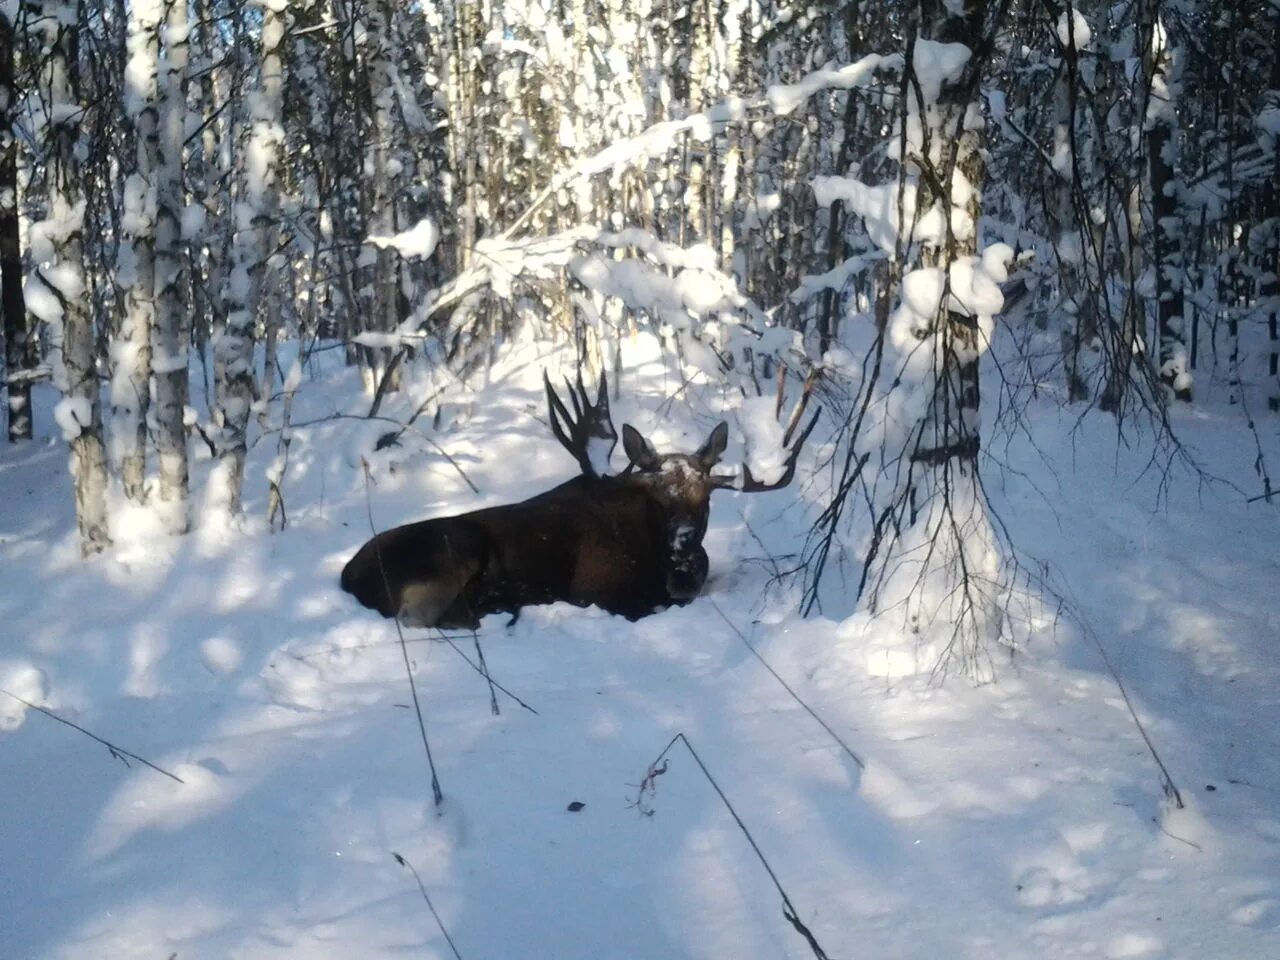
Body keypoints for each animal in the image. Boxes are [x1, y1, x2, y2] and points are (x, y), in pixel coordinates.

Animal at [340, 371, 814, 627]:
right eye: (659, 500)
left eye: (706, 500)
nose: (683, 558)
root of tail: (349, 576)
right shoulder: (597, 591)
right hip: (453, 549)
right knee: (421, 618)